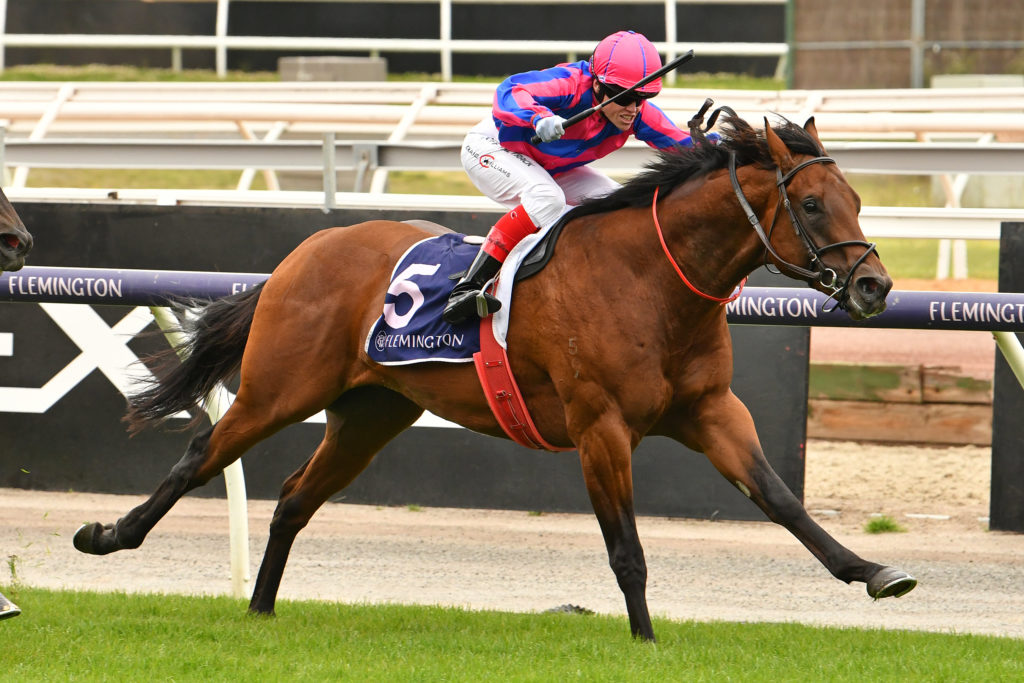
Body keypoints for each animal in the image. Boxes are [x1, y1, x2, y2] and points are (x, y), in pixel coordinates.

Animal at [73, 114, 916, 642]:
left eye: (857, 198)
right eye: (813, 203)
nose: (876, 286)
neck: (651, 280)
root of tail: (301, 254)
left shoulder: (710, 410)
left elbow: (779, 499)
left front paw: (873, 571)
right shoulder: (599, 425)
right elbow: (626, 546)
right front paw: (646, 640)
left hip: (369, 414)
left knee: (291, 499)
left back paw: (259, 609)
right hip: (280, 388)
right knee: (202, 453)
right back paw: (109, 534)